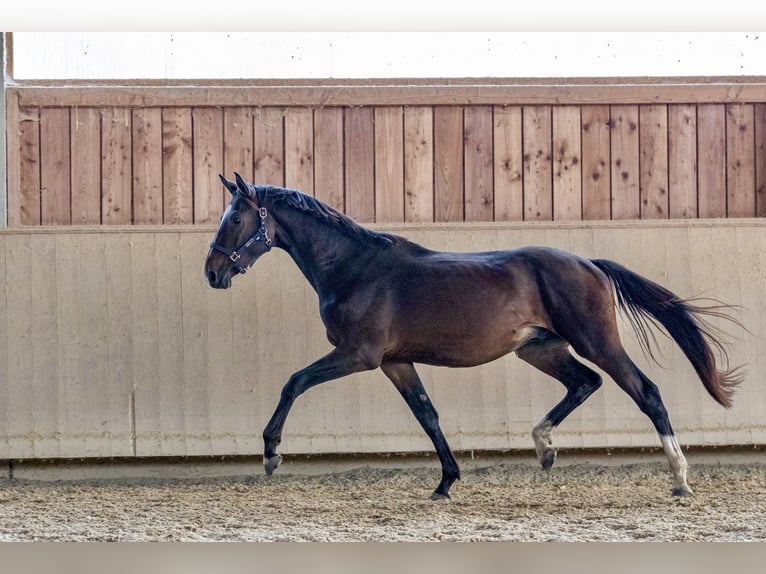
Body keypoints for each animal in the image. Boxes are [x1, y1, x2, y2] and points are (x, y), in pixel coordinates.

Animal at [206, 173, 744, 502]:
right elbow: (427, 416)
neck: (355, 268)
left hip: (597, 341)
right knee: (584, 383)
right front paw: (446, 482)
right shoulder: (394, 361)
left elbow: (293, 382)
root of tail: (590, 264)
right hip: (539, 349)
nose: (212, 272)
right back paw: (544, 447)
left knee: (645, 392)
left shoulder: (358, 354)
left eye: (236, 218)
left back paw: (680, 478)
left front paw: (271, 453)